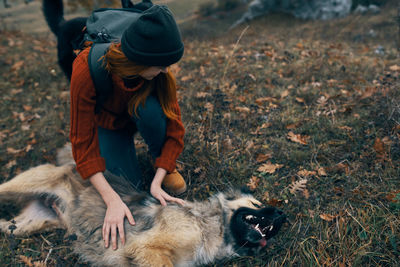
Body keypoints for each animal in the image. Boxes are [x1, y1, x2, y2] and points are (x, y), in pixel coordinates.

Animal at [0, 146, 288, 266]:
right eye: (256, 203)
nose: (283, 215)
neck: (210, 225)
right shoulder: (148, 248)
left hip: (24, 225)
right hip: (26, 183)